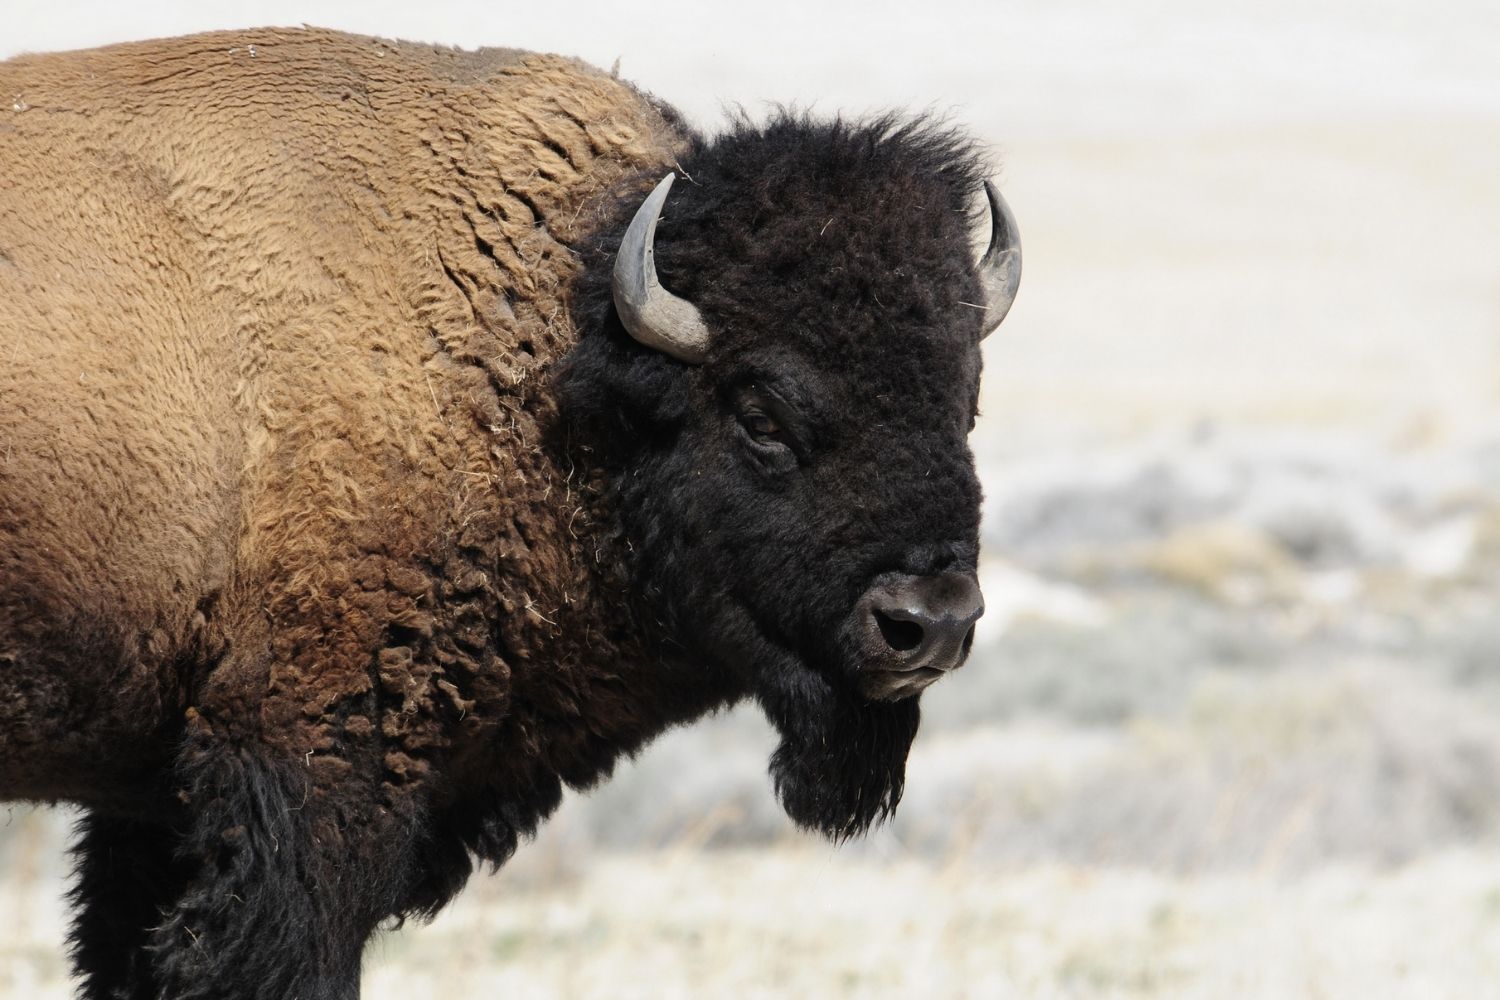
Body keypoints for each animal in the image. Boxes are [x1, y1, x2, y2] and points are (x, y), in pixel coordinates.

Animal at [0, 25, 1020, 1000]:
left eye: (966, 399)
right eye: (761, 415)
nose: (927, 622)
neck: (554, 347)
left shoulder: (157, 802)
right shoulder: (303, 764)